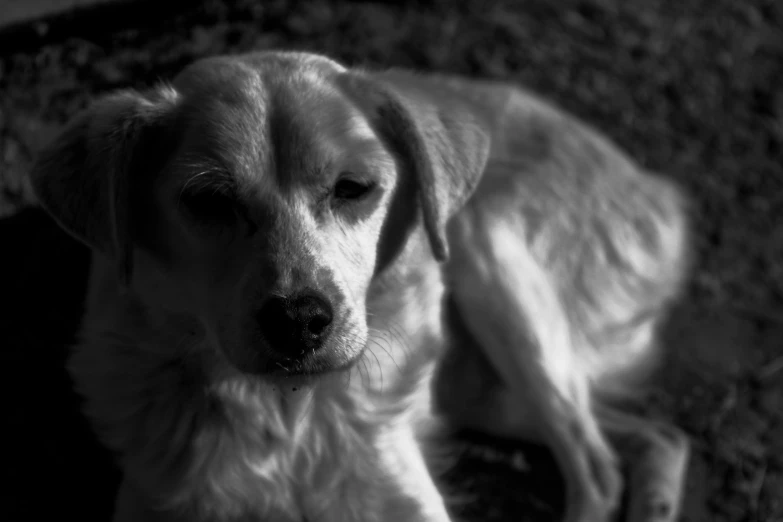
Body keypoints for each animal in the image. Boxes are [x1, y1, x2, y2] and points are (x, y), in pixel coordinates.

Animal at [30, 49, 692, 520]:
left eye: (353, 188)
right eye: (209, 201)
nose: (299, 320)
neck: (287, 420)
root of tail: (656, 187)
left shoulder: (407, 500)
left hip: (488, 255)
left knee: (597, 468)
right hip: (483, 389)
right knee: (655, 436)